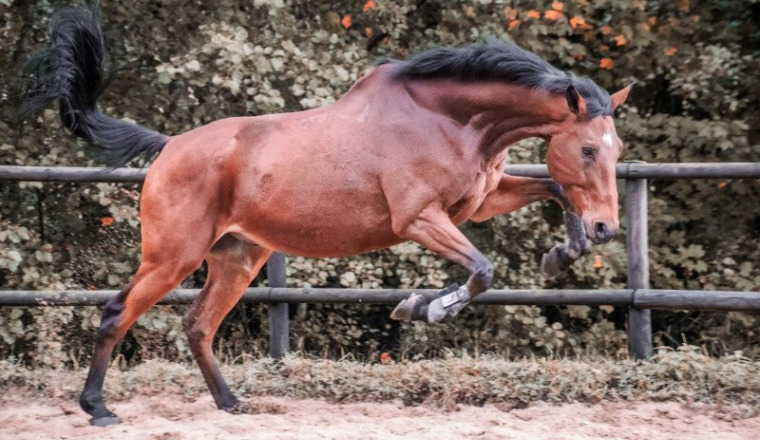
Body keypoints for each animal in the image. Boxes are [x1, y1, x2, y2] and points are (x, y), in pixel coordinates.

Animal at [16, 7, 630, 426]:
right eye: (588, 149)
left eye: (617, 148)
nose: (607, 229)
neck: (453, 119)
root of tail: (169, 147)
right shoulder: (419, 219)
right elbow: (483, 269)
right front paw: (420, 308)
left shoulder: (480, 201)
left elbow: (552, 189)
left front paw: (563, 253)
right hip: (173, 256)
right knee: (117, 313)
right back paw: (97, 408)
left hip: (237, 259)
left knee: (197, 325)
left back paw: (231, 403)